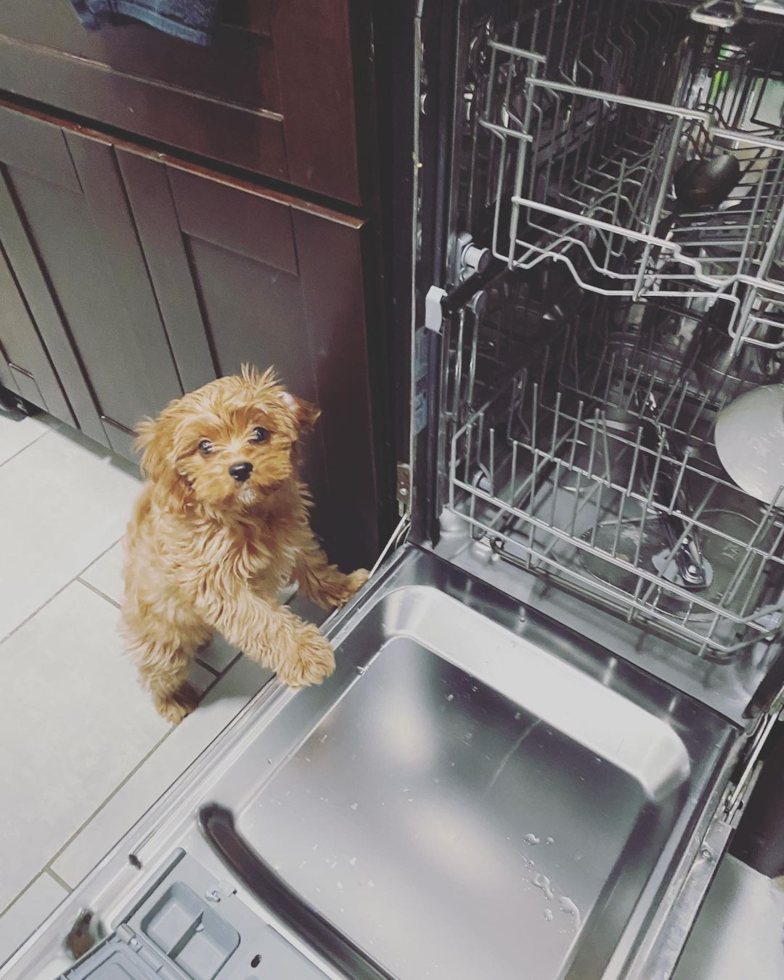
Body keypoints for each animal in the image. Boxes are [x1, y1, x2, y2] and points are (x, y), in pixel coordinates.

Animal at [120, 364, 370, 724]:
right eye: (205, 447)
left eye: (259, 433)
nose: (240, 469)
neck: (248, 516)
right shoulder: (222, 586)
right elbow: (265, 623)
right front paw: (305, 655)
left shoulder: (294, 537)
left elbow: (314, 566)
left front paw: (343, 586)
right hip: (162, 644)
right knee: (156, 675)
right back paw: (173, 703)